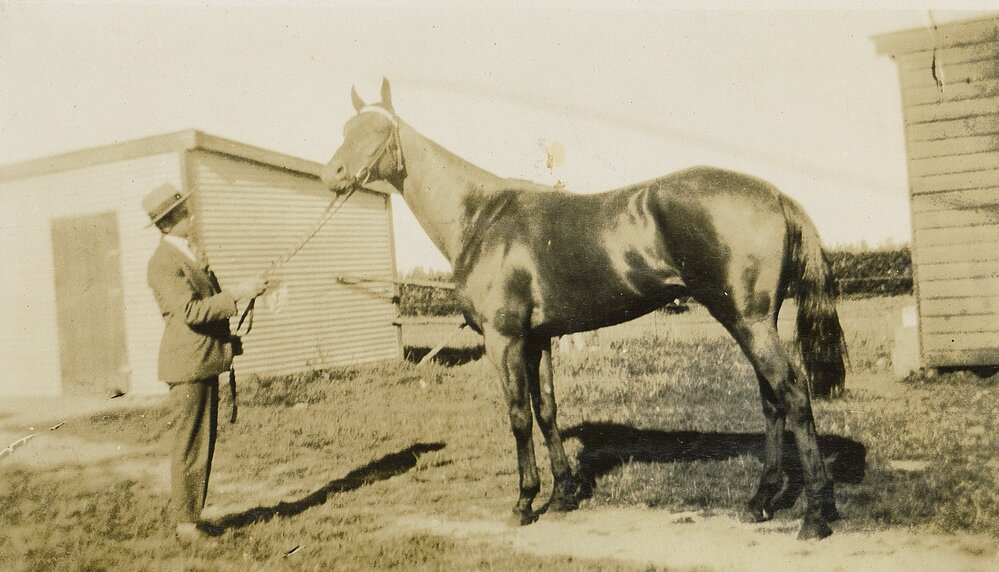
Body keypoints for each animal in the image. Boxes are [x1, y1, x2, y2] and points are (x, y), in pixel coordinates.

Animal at [321, 78, 846, 540]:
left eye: (379, 132)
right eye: (345, 129)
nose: (333, 176)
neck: (481, 216)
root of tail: (776, 195)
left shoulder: (504, 338)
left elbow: (518, 415)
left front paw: (524, 503)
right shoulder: (538, 338)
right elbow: (547, 410)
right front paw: (563, 495)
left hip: (747, 321)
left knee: (793, 394)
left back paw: (815, 515)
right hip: (754, 321)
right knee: (772, 401)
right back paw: (761, 501)